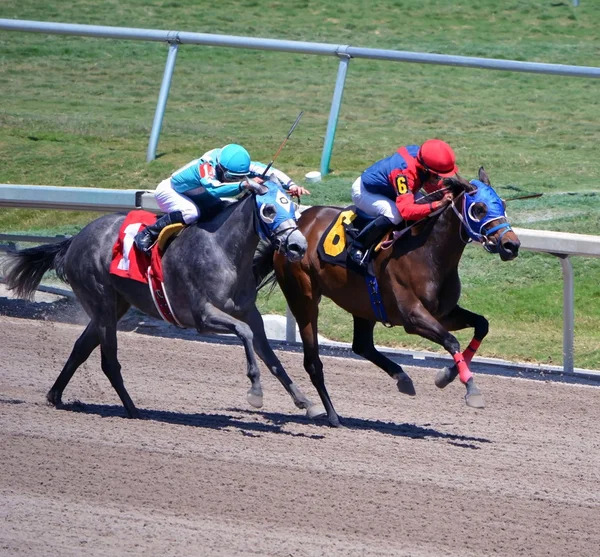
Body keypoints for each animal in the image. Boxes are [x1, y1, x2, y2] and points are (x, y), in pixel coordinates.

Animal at [3, 180, 324, 420]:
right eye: (269, 210)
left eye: (293, 209)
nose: (297, 246)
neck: (223, 251)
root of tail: (73, 240)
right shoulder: (202, 316)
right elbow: (244, 335)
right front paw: (255, 393)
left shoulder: (249, 313)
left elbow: (271, 357)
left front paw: (307, 403)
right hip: (101, 301)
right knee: (109, 361)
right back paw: (133, 410)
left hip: (114, 304)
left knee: (81, 348)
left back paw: (55, 395)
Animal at [268, 167, 520, 424]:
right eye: (479, 209)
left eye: (502, 204)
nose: (511, 245)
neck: (427, 252)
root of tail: (297, 225)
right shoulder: (412, 317)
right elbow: (451, 340)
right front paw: (470, 388)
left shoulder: (444, 313)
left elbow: (481, 325)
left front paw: (447, 375)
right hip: (304, 299)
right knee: (313, 362)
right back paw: (332, 414)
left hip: (362, 304)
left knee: (362, 345)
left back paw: (402, 378)